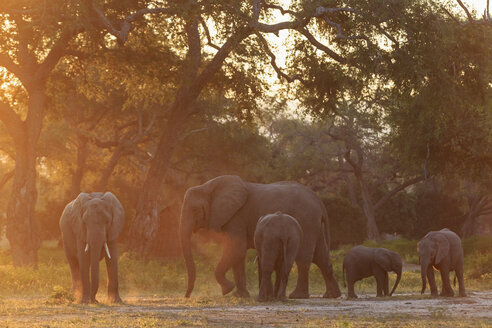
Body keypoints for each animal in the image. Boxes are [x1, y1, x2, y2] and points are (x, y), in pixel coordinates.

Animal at [181, 176, 342, 298]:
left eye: (195, 210)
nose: (187, 296)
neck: (208, 186)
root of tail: (319, 201)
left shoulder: (237, 216)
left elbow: (236, 248)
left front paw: (228, 290)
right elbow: (237, 254)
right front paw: (239, 295)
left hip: (307, 220)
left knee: (304, 258)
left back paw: (297, 296)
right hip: (314, 224)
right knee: (321, 257)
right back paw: (331, 295)